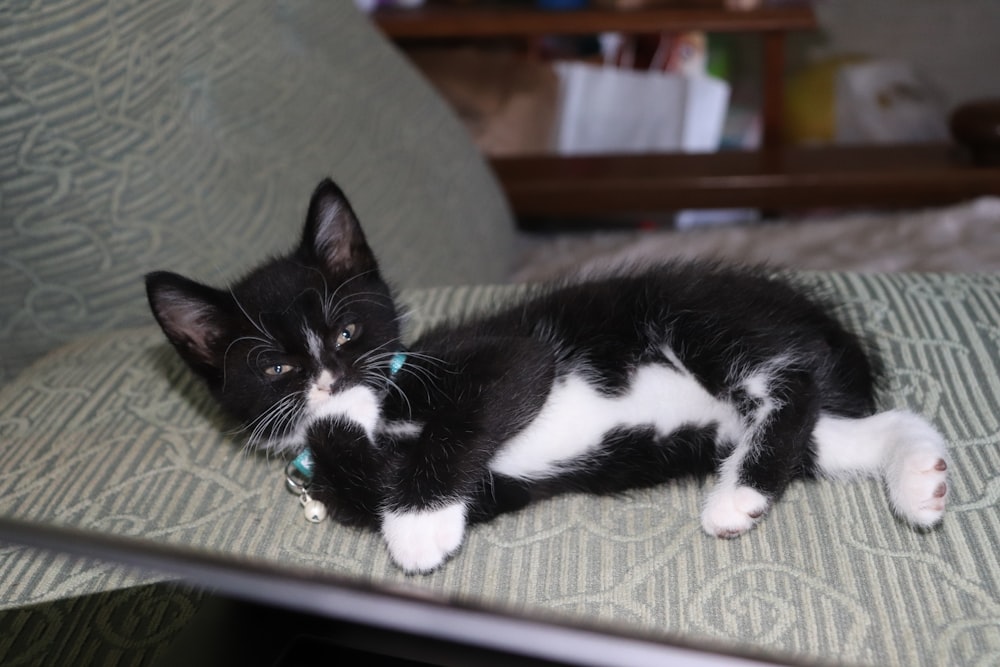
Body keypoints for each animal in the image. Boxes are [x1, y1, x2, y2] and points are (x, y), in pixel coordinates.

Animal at [145, 179, 948, 576]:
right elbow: (378, 477)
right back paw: (920, 479)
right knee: (845, 430)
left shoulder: (503, 355)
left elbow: (468, 415)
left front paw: (418, 529)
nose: (328, 376)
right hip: (732, 426)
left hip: (698, 317)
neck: (382, 403)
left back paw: (737, 497)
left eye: (347, 331)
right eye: (276, 366)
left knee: (789, 385)